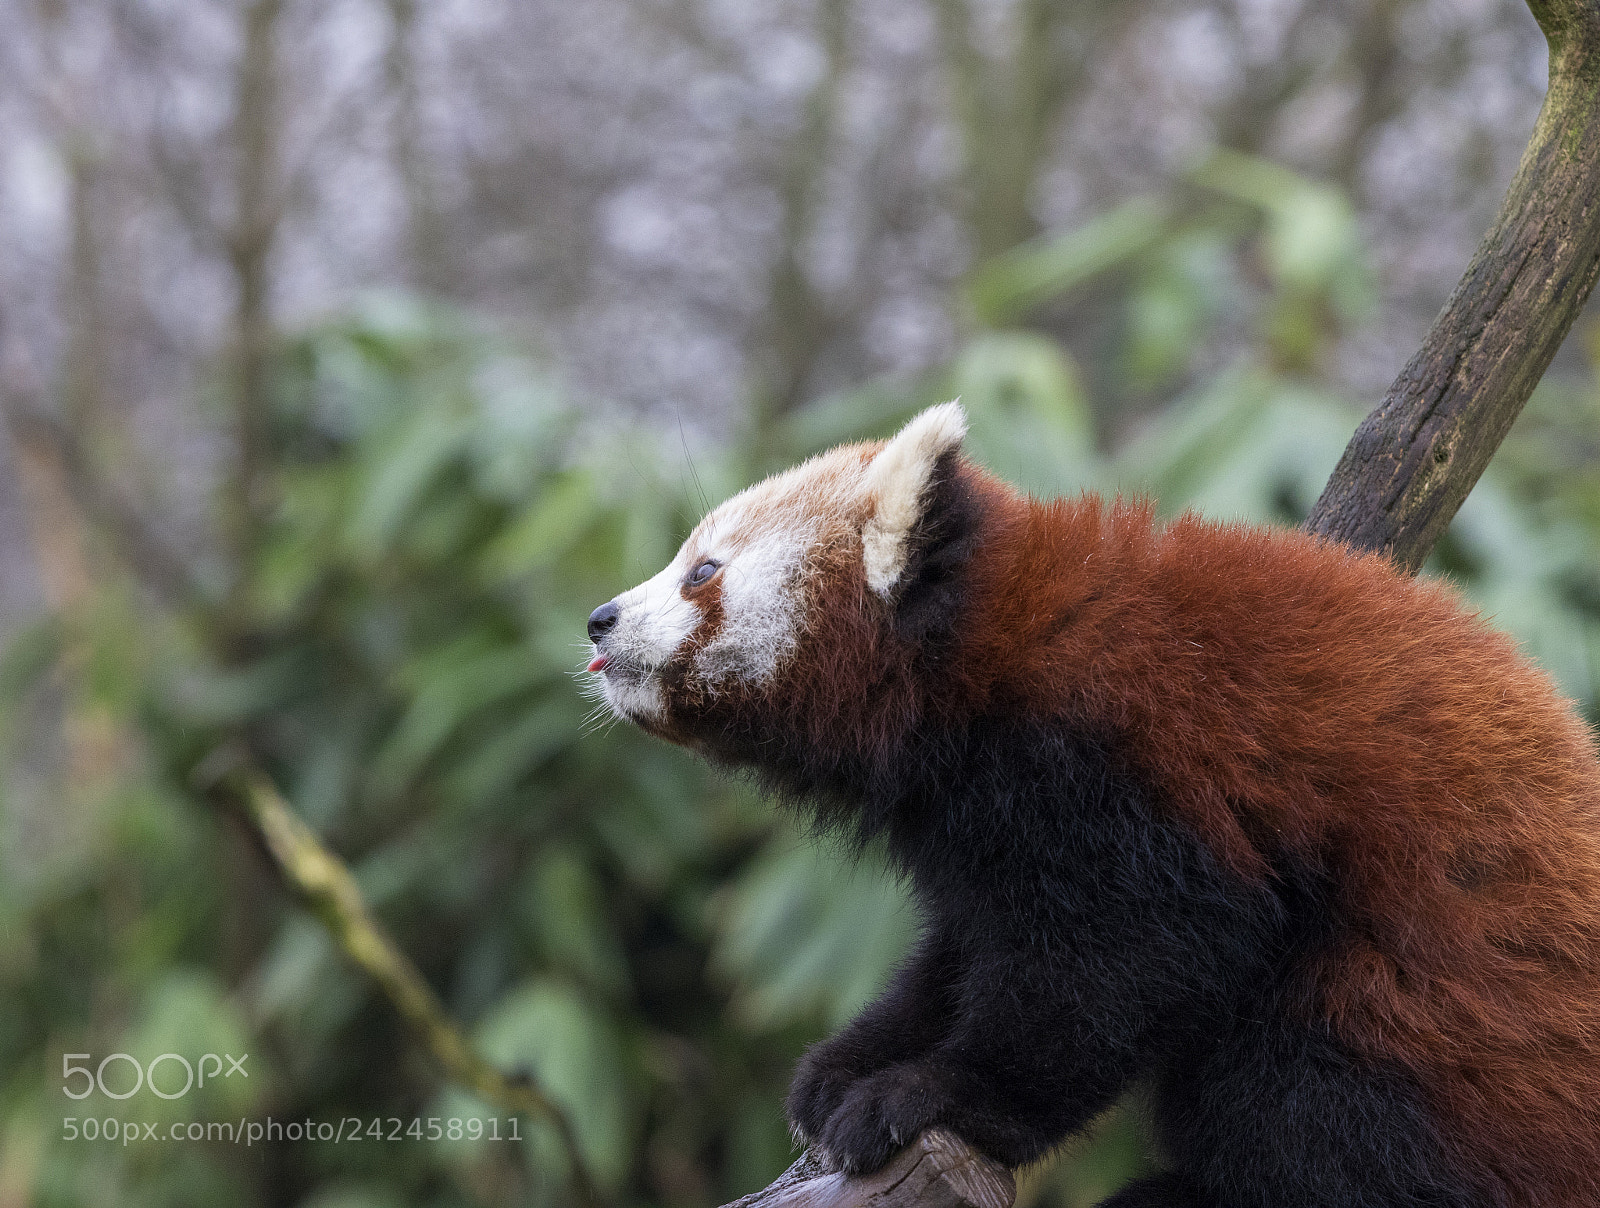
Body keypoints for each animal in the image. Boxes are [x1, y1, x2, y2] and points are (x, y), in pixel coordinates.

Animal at [584, 402, 1600, 1207]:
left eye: (703, 572)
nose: (600, 618)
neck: (989, 655)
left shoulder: (1127, 774)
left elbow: (1119, 964)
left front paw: (935, 1095)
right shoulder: (979, 828)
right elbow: (965, 946)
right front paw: (852, 1062)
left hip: (1434, 1021)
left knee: (1318, 1095)